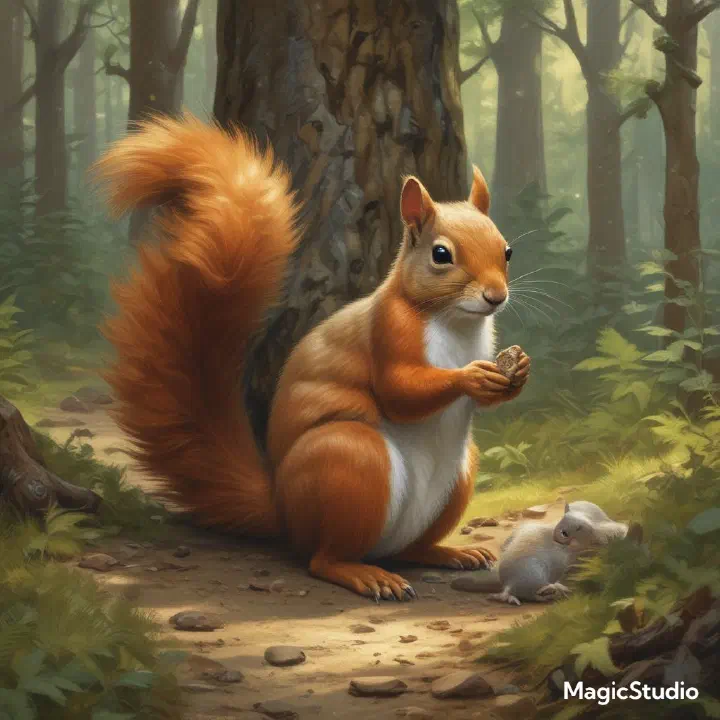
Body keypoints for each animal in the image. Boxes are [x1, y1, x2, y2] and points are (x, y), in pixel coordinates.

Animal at [93, 114, 530, 602]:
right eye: (441, 255)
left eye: (507, 250)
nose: (496, 296)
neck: (454, 321)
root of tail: (283, 513)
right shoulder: (389, 330)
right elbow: (399, 391)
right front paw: (470, 378)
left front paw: (517, 372)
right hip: (349, 462)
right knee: (322, 558)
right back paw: (364, 574)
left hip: (455, 477)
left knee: (411, 549)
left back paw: (447, 553)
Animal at [455, 501, 628, 605]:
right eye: (566, 527)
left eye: (580, 527)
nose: (563, 533)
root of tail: (508, 585)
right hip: (535, 573)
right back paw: (553, 591)